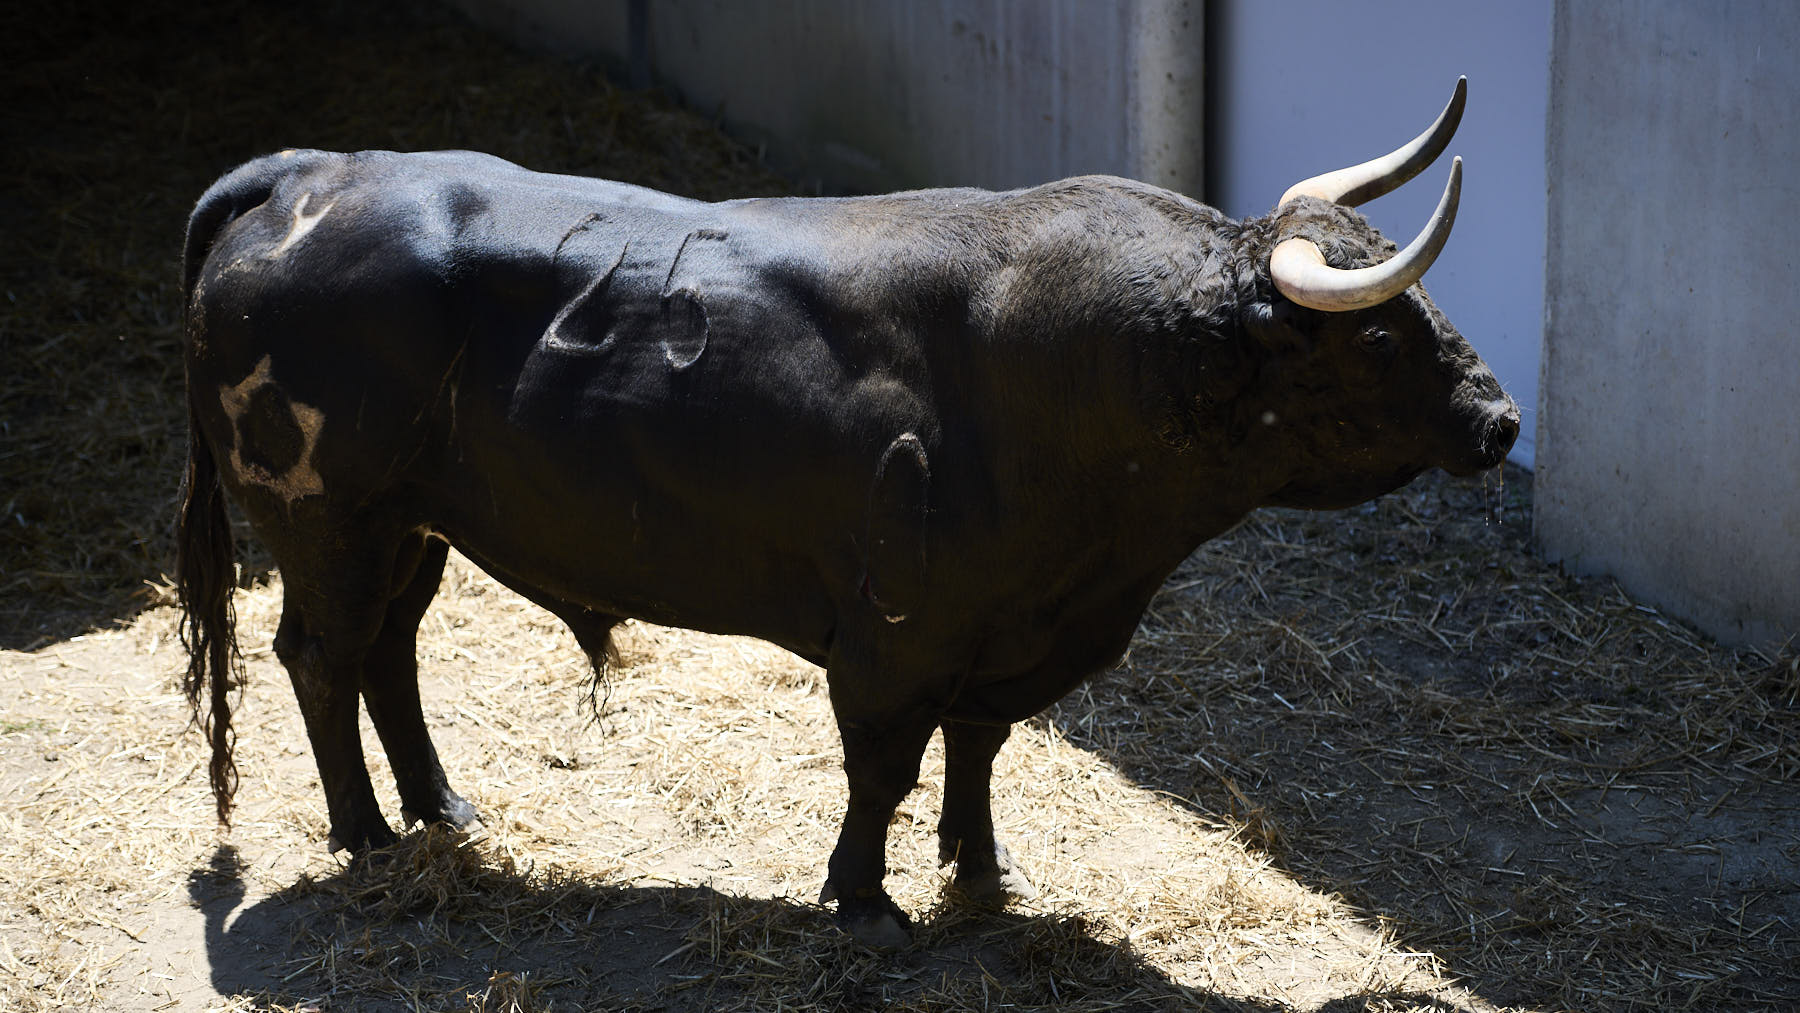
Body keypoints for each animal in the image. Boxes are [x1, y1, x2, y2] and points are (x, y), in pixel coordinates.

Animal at [182, 83, 1512, 950]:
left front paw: (982, 871)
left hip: (414, 527)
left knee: (388, 654)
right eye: (1380, 337)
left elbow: (978, 747)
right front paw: (865, 902)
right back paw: (363, 831)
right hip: (328, 521)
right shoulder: (895, 634)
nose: (1499, 419)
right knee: (322, 656)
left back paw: (439, 807)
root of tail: (307, 173)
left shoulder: (1006, 628)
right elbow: (882, 767)